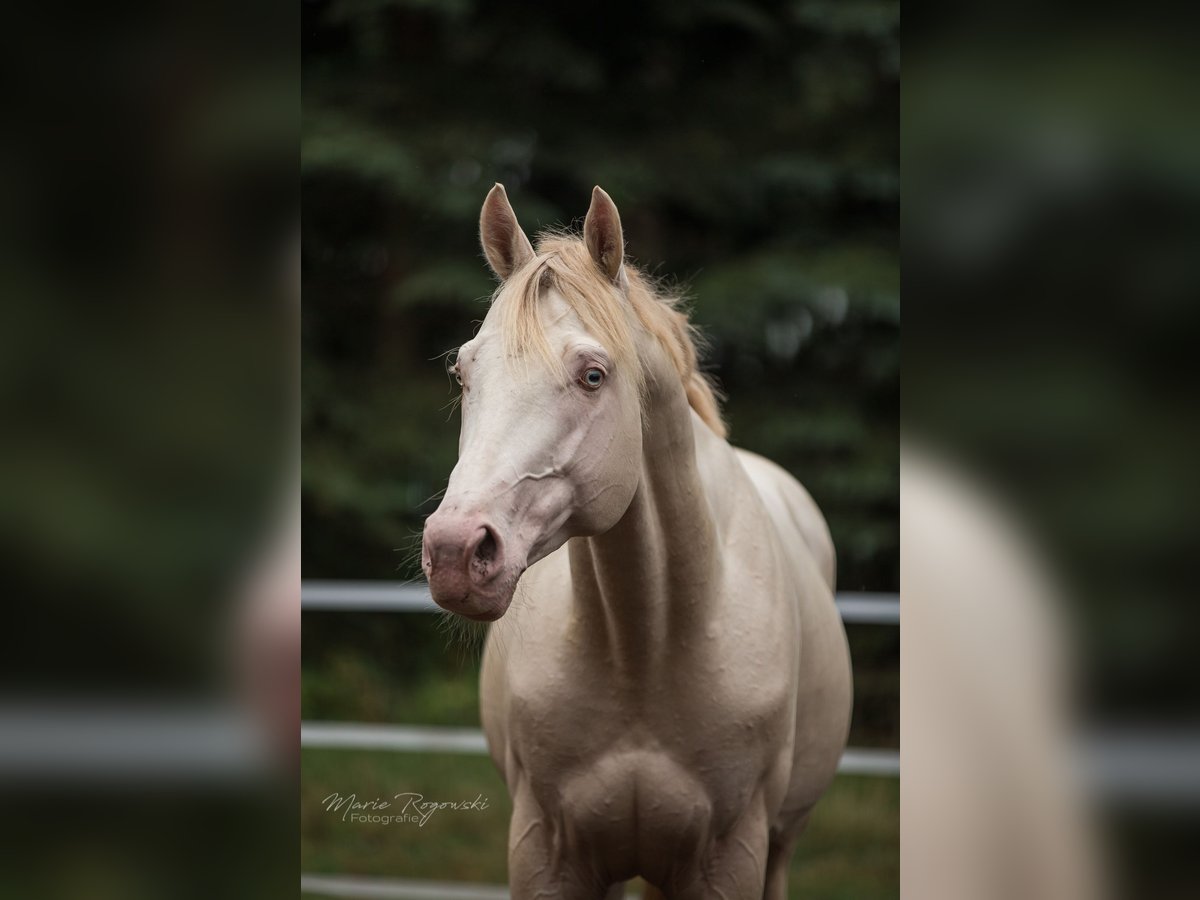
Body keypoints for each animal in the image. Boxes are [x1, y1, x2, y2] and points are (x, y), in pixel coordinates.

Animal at [421, 184, 852, 898]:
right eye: (462, 373)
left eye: (593, 375)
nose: (456, 552)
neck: (645, 647)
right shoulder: (545, 851)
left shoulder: (732, 856)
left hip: (779, 846)